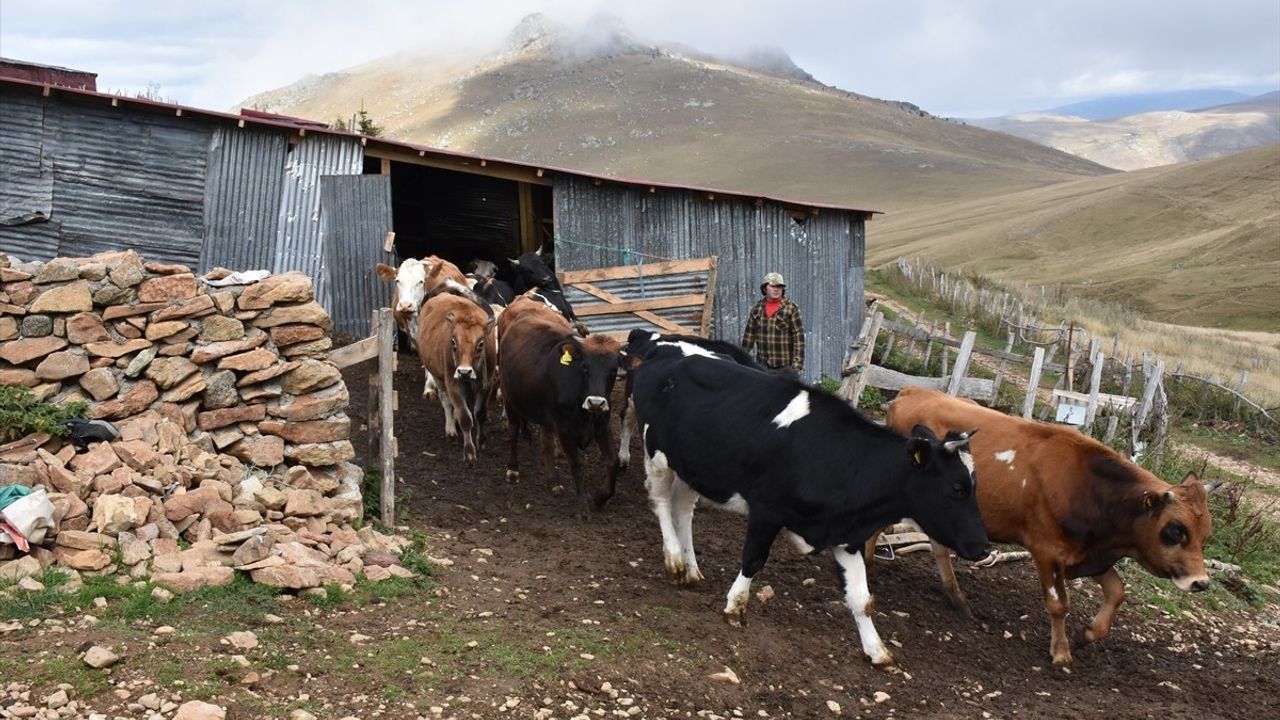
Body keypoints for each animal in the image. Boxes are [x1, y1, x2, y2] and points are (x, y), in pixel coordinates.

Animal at [414, 286, 494, 458]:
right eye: (453, 342)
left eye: (481, 343)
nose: (464, 372)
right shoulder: (453, 384)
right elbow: (465, 417)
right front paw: (469, 452)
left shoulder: (486, 384)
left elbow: (480, 413)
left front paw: (481, 441)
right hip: (437, 375)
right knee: (446, 400)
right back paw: (451, 428)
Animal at [629, 351, 988, 666]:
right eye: (957, 488)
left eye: (974, 485)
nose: (983, 547)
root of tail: (666, 359)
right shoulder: (767, 510)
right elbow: (754, 559)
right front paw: (735, 607)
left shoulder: (848, 536)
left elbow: (862, 599)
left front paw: (877, 650)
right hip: (657, 453)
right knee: (661, 502)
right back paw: (674, 560)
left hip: (693, 467)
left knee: (683, 509)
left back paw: (692, 570)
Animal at [880, 384, 1218, 666]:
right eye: (1175, 531)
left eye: (1206, 535)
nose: (1200, 582)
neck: (1088, 487)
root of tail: (911, 391)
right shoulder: (1047, 551)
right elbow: (1059, 604)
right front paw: (1061, 651)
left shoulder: (1089, 555)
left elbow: (1117, 592)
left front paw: (1086, 635)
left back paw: (956, 597)